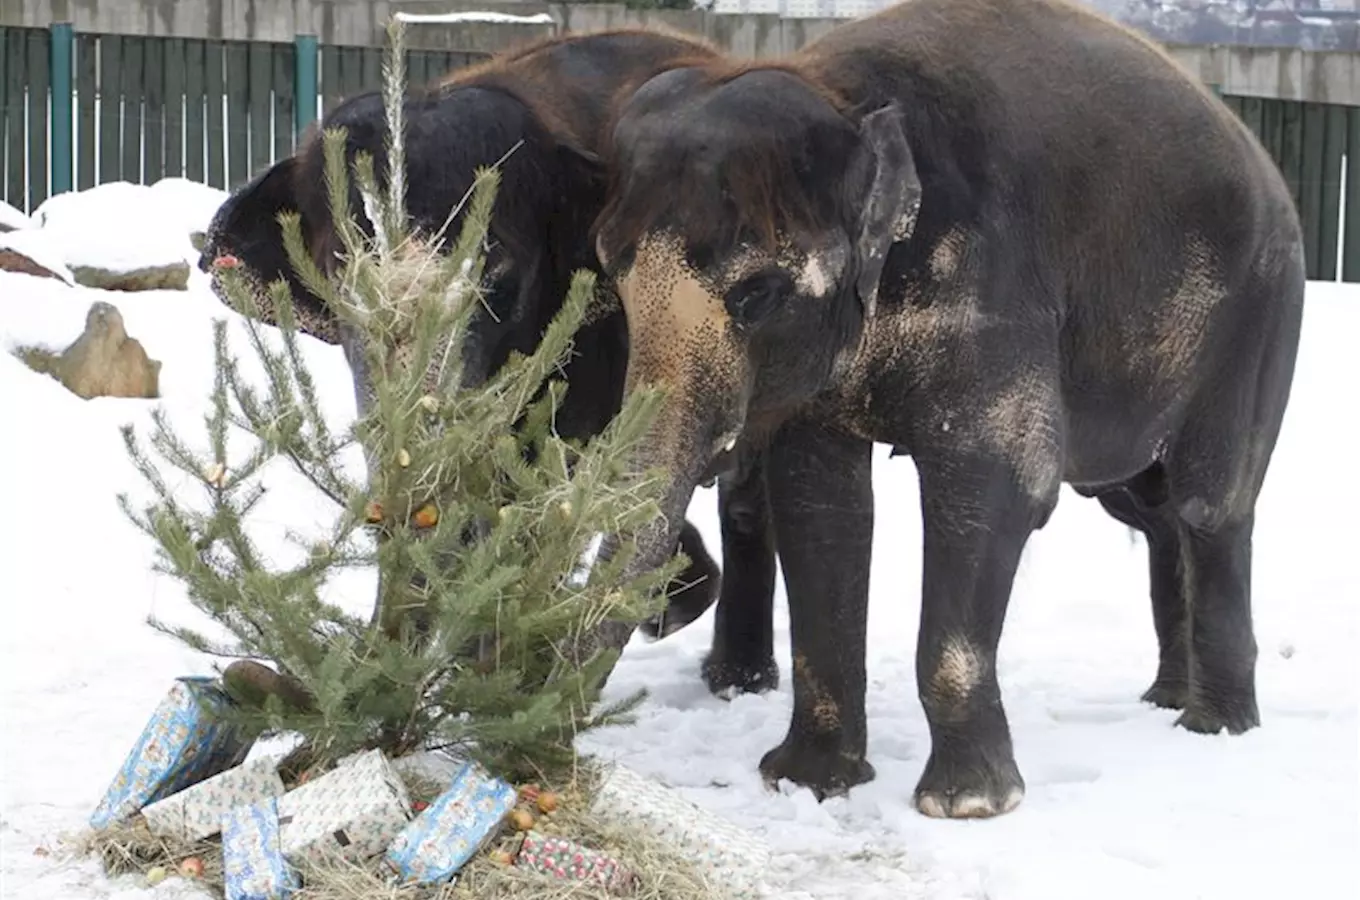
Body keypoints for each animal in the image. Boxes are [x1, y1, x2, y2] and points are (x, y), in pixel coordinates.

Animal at [587, 0, 1305, 821]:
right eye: (609, 271)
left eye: (756, 295)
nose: (666, 611)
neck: (843, 96)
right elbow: (819, 505)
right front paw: (806, 782)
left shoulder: (994, 291)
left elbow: (994, 489)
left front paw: (968, 806)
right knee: (1146, 509)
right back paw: (1164, 701)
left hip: (1259, 315)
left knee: (1208, 506)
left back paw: (1214, 729)